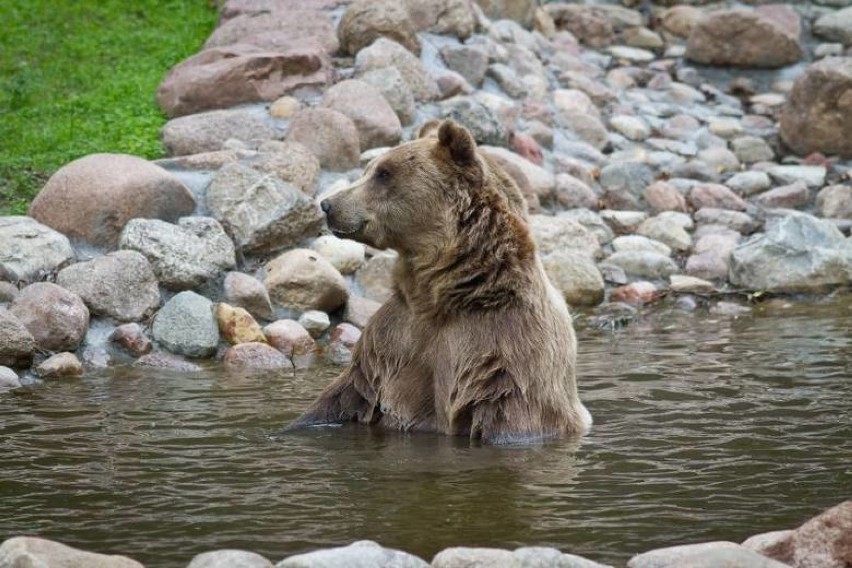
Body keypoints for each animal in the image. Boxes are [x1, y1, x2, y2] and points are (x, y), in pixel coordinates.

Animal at [292, 121, 592, 444]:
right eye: (369, 169)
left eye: (384, 173)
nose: (328, 204)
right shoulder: (392, 338)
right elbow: (346, 395)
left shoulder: (504, 347)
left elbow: (506, 413)